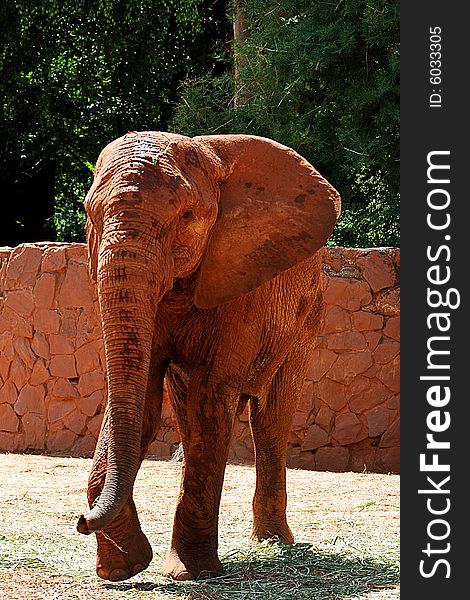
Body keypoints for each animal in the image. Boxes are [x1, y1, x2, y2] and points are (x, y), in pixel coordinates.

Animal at [77, 131, 342, 580]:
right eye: (89, 214)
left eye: (186, 215)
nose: (81, 520)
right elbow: (142, 399)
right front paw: (123, 569)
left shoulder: (242, 284)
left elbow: (211, 395)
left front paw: (188, 573)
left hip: (307, 316)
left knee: (269, 418)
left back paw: (272, 544)